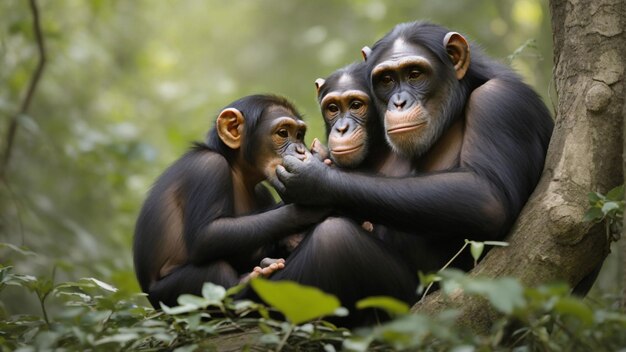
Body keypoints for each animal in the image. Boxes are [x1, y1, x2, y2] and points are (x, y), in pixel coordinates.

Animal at [132, 95, 326, 306]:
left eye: (299, 135)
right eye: (283, 133)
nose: (301, 150)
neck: (237, 170)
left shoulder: (262, 192)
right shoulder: (207, 168)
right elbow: (207, 234)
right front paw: (310, 201)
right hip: (167, 296)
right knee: (216, 268)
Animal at [270, 22, 552, 270]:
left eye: (415, 74)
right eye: (386, 80)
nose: (399, 102)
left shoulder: (501, 101)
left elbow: (489, 196)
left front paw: (314, 178)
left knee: (333, 238)